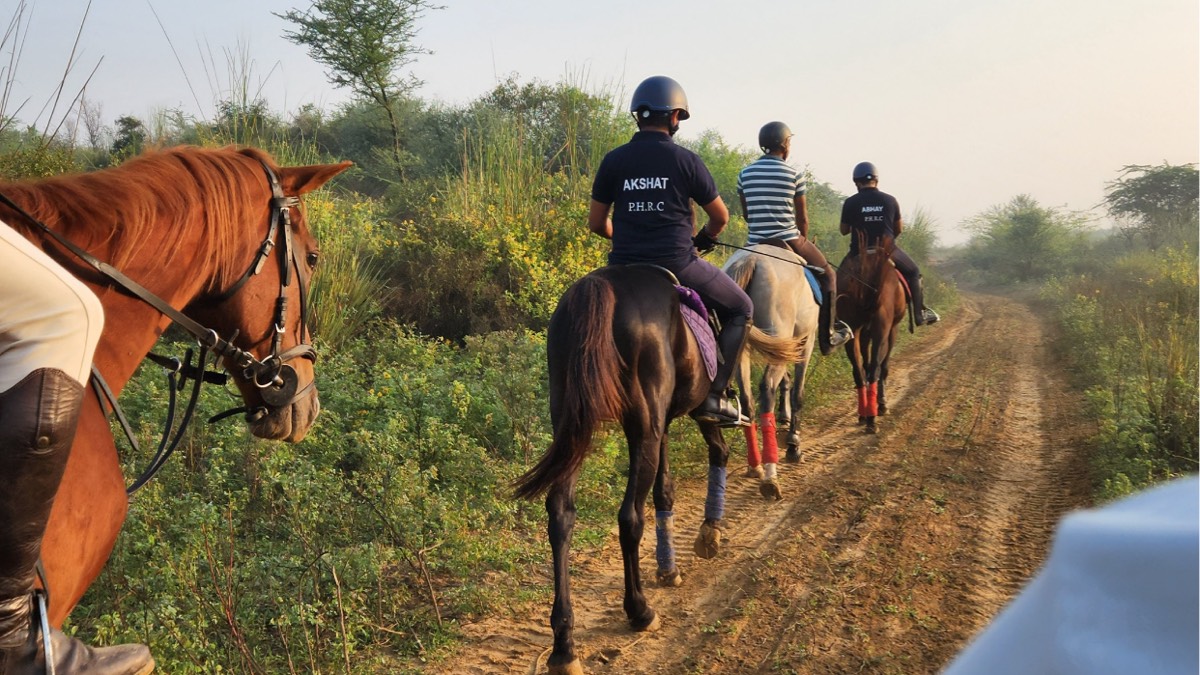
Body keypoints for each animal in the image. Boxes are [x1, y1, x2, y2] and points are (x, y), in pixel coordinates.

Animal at [513, 264, 801, 672]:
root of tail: (601, 287)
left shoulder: (662, 421)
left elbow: (665, 489)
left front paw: (671, 567)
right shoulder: (691, 413)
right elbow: (718, 453)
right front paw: (709, 533)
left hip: (574, 423)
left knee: (561, 516)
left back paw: (564, 645)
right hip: (641, 423)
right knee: (630, 516)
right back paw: (639, 610)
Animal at [840, 230, 902, 429]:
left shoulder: (864, 332)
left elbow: (865, 365)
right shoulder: (891, 329)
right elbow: (883, 366)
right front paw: (882, 405)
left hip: (852, 332)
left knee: (858, 370)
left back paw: (864, 413)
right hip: (882, 331)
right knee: (876, 366)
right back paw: (873, 417)